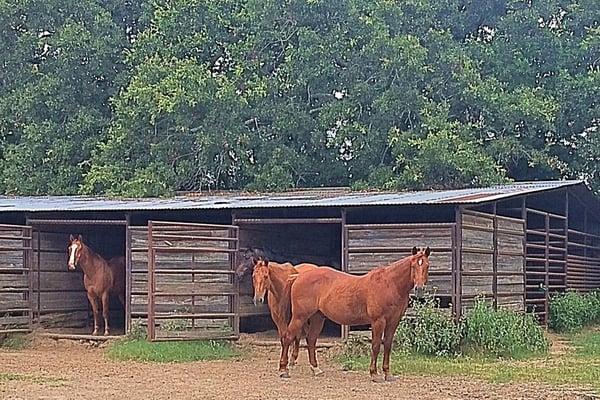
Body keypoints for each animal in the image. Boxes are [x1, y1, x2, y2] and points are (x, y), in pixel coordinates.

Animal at [282, 247, 432, 382]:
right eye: (413, 265)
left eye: (427, 266)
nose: (419, 289)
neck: (390, 284)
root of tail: (298, 276)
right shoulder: (378, 321)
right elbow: (376, 346)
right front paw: (374, 374)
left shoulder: (393, 321)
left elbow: (388, 345)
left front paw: (387, 374)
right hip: (299, 317)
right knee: (288, 337)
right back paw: (284, 370)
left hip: (317, 318)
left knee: (311, 339)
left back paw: (316, 369)